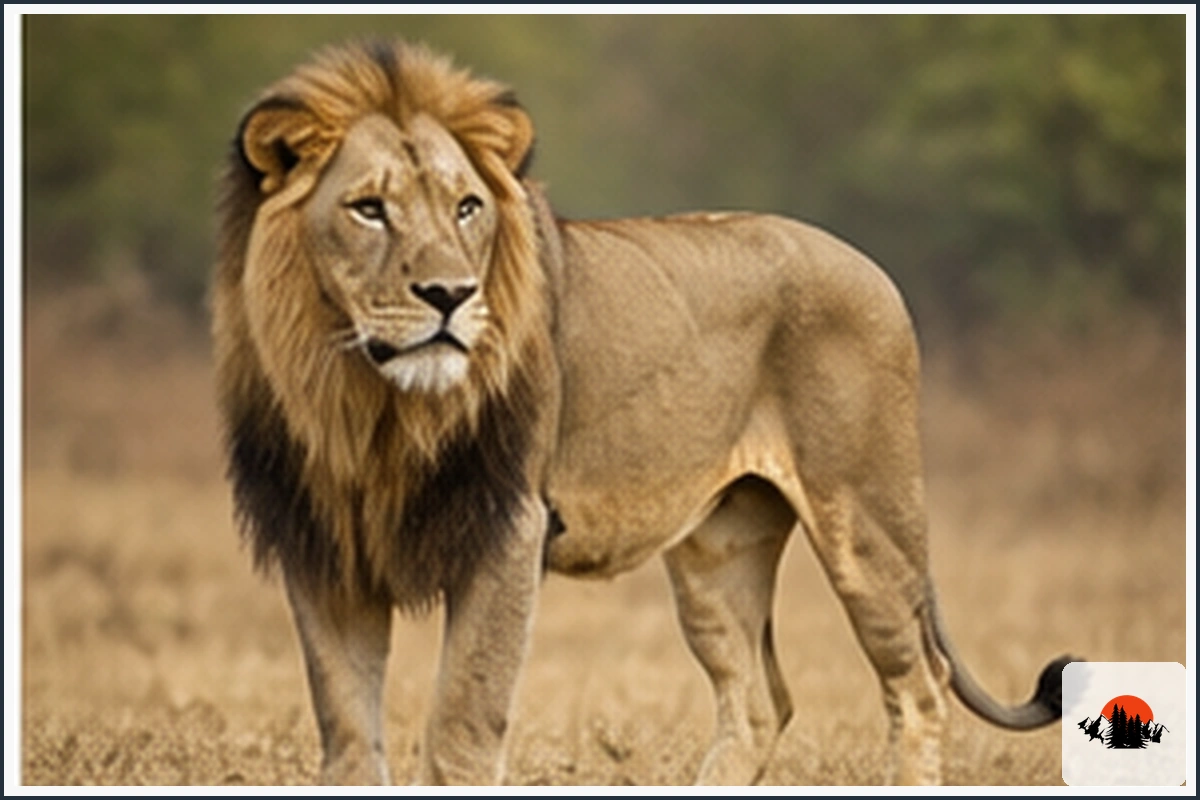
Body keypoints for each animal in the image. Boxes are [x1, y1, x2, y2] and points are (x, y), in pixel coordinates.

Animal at [212, 39, 1070, 786]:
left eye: (466, 208)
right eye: (367, 210)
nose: (451, 295)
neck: (368, 403)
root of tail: (874, 267)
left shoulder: (510, 526)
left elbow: (462, 724)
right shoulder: (324, 545)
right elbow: (348, 734)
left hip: (865, 519)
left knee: (918, 683)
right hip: (719, 549)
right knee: (759, 701)